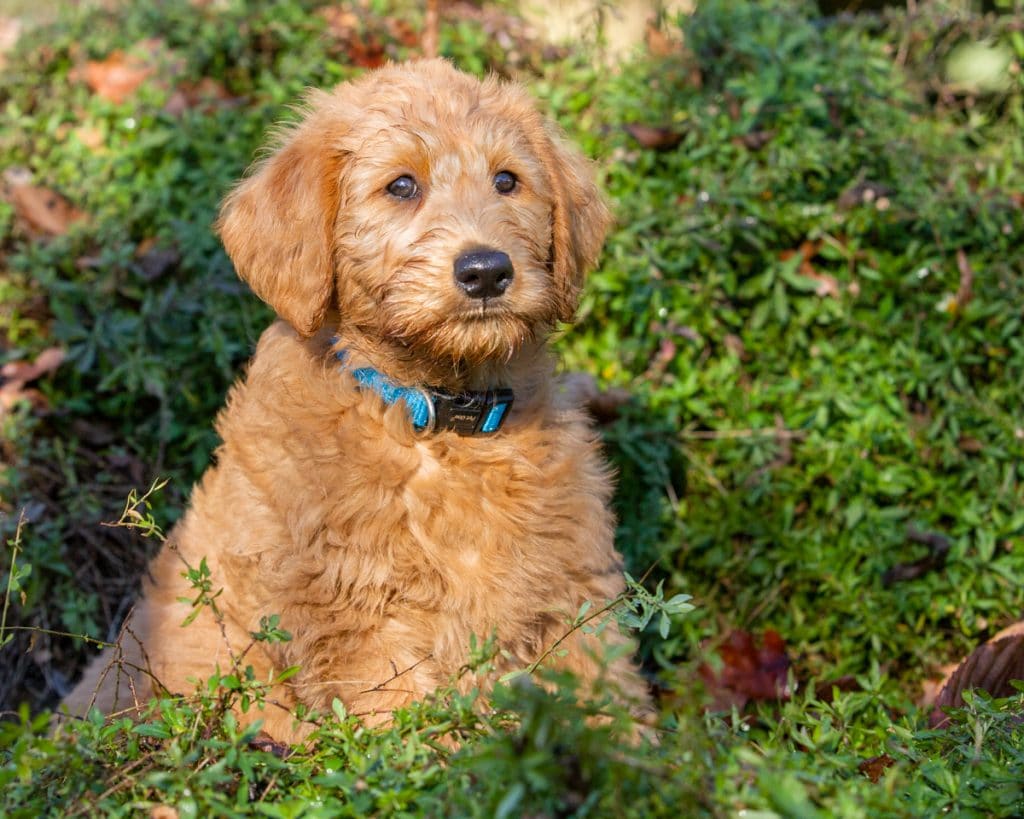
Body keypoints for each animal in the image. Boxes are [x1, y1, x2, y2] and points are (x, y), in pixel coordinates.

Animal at [66, 59, 647, 741]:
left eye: (508, 181)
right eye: (401, 186)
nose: (486, 271)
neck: (433, 415)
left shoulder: (575, 594)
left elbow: (610, 704)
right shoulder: (362, 631)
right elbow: (410, 739)